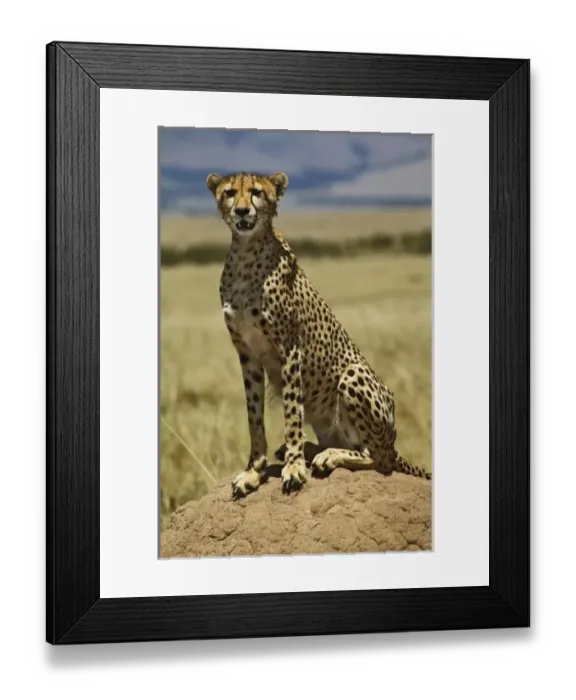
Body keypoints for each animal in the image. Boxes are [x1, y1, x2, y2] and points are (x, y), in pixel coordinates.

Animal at [206, 170, 431, 498]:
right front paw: (254, 471)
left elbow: (291, 412)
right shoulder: (247, 354)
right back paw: (306, 450)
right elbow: (254, 416)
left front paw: (293, 468)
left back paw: (327, 456)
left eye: (257, 192)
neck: (247, 254)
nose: (243, 211)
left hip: (354, 375)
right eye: (230, 193)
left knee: (380, 458)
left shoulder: (289, 349)